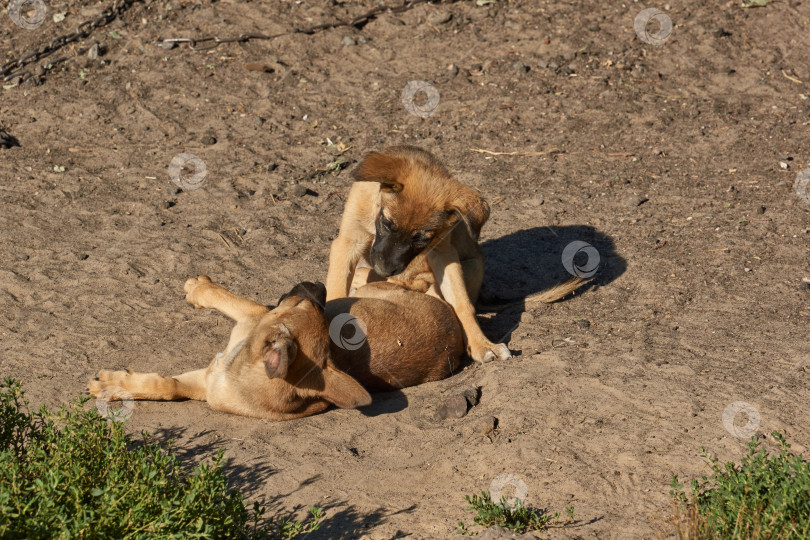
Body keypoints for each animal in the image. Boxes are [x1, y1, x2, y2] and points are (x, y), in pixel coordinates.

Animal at [87, 276, 460, 420]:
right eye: (312, 306)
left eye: (300, 304)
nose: (320, 285)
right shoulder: (206, 383)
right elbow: (166, 386)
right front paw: (115, 386)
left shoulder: (254, 314)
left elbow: (226, 297)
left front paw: (199, 288)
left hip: (382, 288)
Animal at [322, 146, 580, 362]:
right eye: (386, 224)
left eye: (421, 239)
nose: (384, 269)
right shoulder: (348, 242)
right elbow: (336, 290)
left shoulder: (443, 254)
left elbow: (461, 303)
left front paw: (482, 344)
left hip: (468, 265)